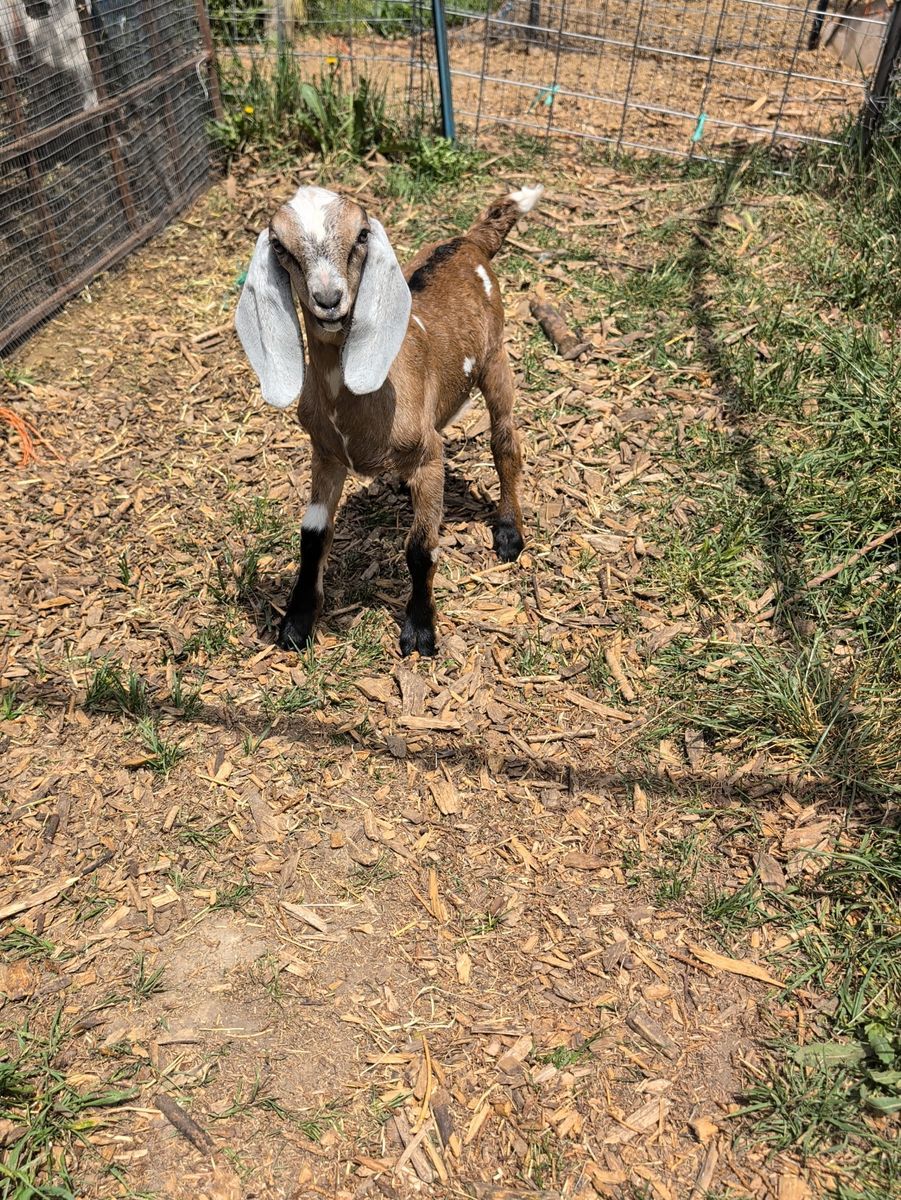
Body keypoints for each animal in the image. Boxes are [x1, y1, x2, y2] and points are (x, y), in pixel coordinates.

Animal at [235, 181, 543, 657]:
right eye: (279, 245)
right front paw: (296, 624)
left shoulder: (427, 457)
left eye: (362, 234)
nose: (328, 300)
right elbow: (312, 535)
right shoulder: (326, 455)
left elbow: (421, 546)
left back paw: (510, 533)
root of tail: (471, 241)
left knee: (505, 441)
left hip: (495, 358)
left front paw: (420, 631)